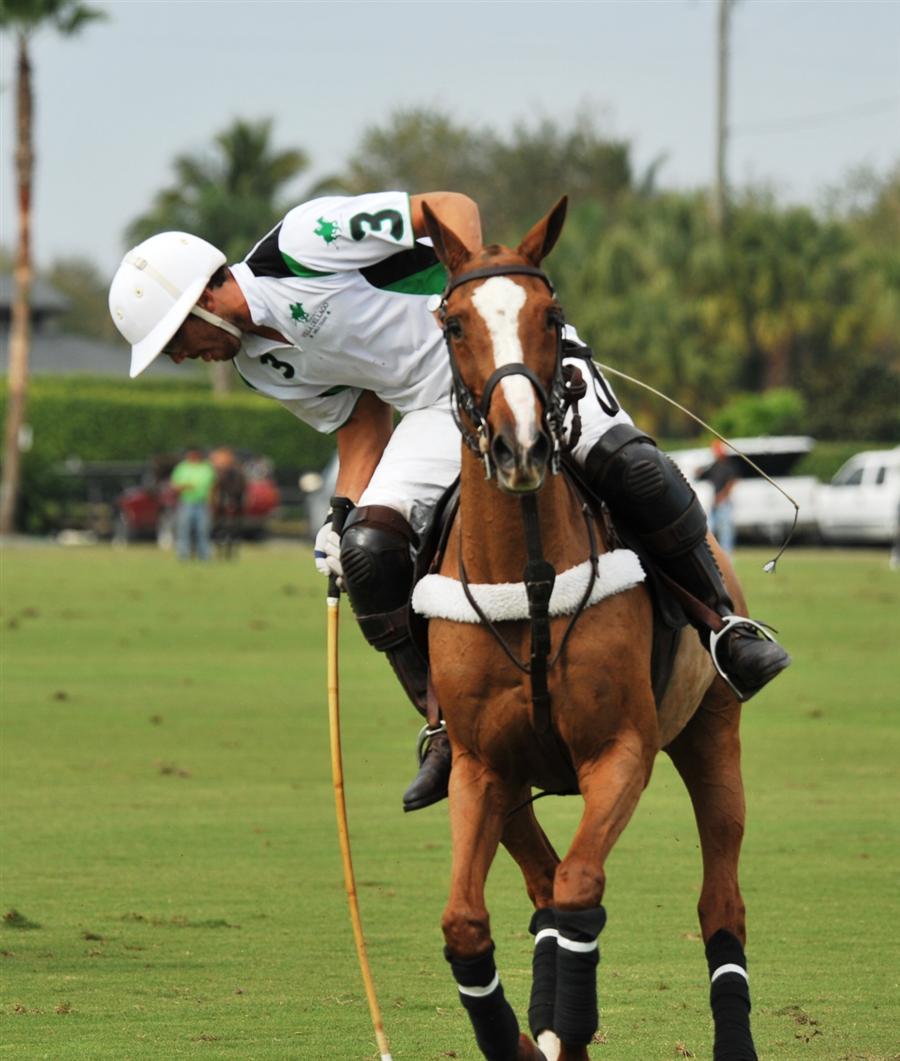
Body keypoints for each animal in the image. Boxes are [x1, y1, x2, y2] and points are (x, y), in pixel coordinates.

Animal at [415, 197, 759, 1061]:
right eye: (454, 322)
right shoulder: (480, 766)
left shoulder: (620, 749)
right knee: (538, 884)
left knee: (720, 900)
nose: (523, 446)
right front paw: (519, 1035)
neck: (531, 579)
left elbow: (580, 888)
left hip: (712, 733)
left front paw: (566, 1025)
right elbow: (468, 919)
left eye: (552, 314)